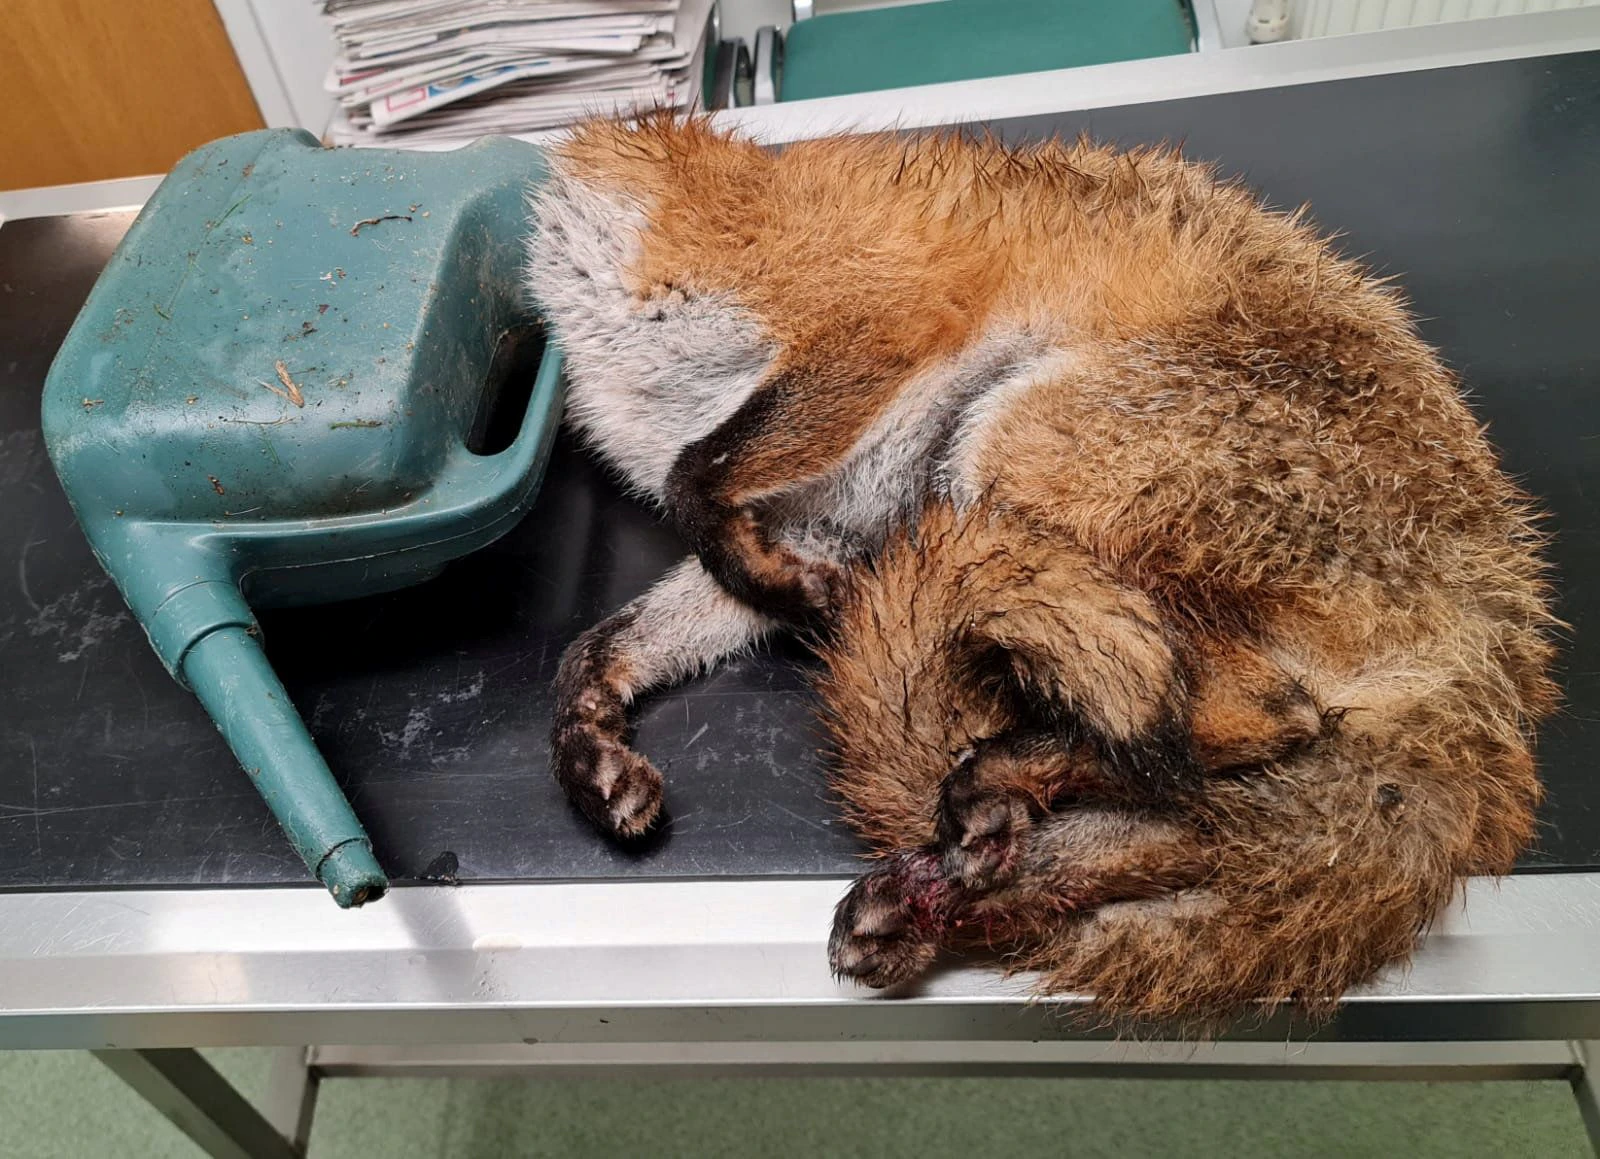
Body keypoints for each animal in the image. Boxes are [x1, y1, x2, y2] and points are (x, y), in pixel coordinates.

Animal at [525, 113, 1558, 1022]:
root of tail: (1494, 632)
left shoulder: (867, 323)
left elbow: (694, 478)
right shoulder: (828, 518)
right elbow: (597, 647)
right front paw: (590, 752)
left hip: (1014, 437)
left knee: (1250, 715)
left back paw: (996, 784)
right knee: (1197, 796)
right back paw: (954, 882)